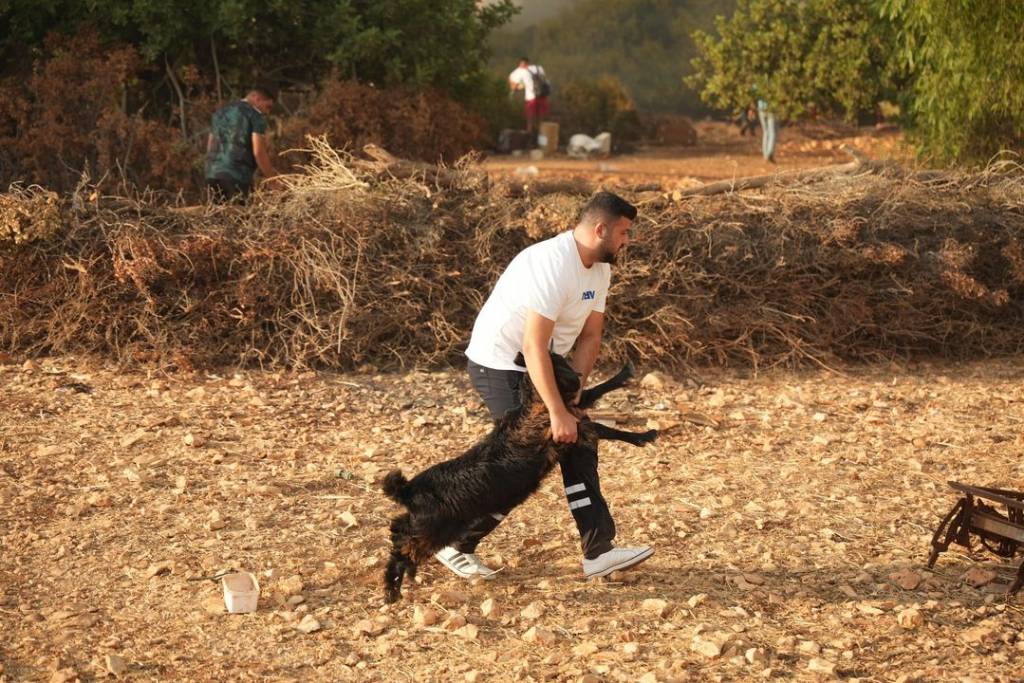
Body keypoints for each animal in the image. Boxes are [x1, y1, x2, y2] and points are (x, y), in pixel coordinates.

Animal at [378, 352, 655, 602]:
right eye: (556, 360)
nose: (576, 373)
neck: (534, 402)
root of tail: (408, 490)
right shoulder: (573, 430)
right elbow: (604, 424)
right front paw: (646, 434)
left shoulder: (573, 417)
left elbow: (593, 394)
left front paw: (625, 375)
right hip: (434, 528)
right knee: (402, 548)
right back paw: (392, 591)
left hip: (423, 524)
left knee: (399, 532)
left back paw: (405, 576)